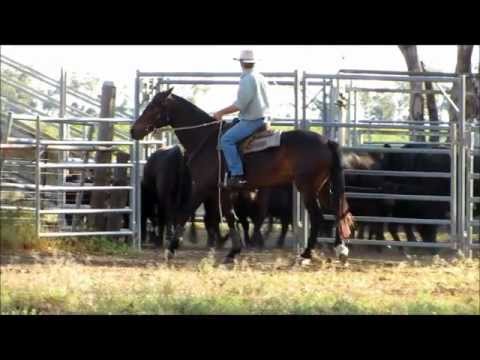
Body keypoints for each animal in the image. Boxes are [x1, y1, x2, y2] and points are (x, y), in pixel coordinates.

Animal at [130, 87, 352, 262]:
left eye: (154, 106)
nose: (133, 130)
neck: (205, 138)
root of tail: (326, 141)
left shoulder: (202, 187)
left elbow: (185, 213)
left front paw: (171, 250)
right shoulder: (222, 190)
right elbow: (231, 217)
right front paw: (233, 252)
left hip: (307, 187)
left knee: (317, 216)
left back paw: (306, 254)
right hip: (323, 186)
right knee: (337, 210)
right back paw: (340, 249)